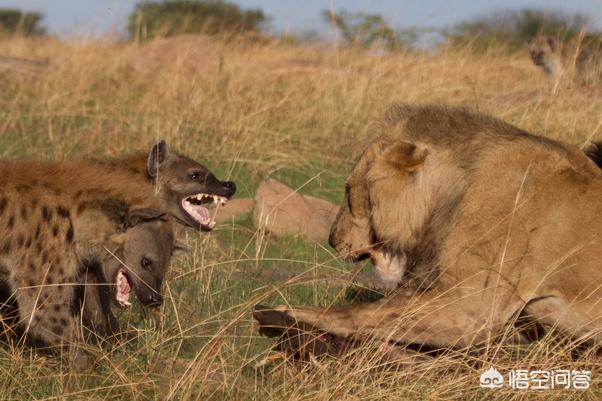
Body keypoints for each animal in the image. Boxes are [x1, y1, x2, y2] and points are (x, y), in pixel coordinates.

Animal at [253, 104, 600, 354]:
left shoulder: (472, 310)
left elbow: (361, 312)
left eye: (348, 192)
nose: (332, 239)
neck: (452, 192)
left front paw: (286, 311)